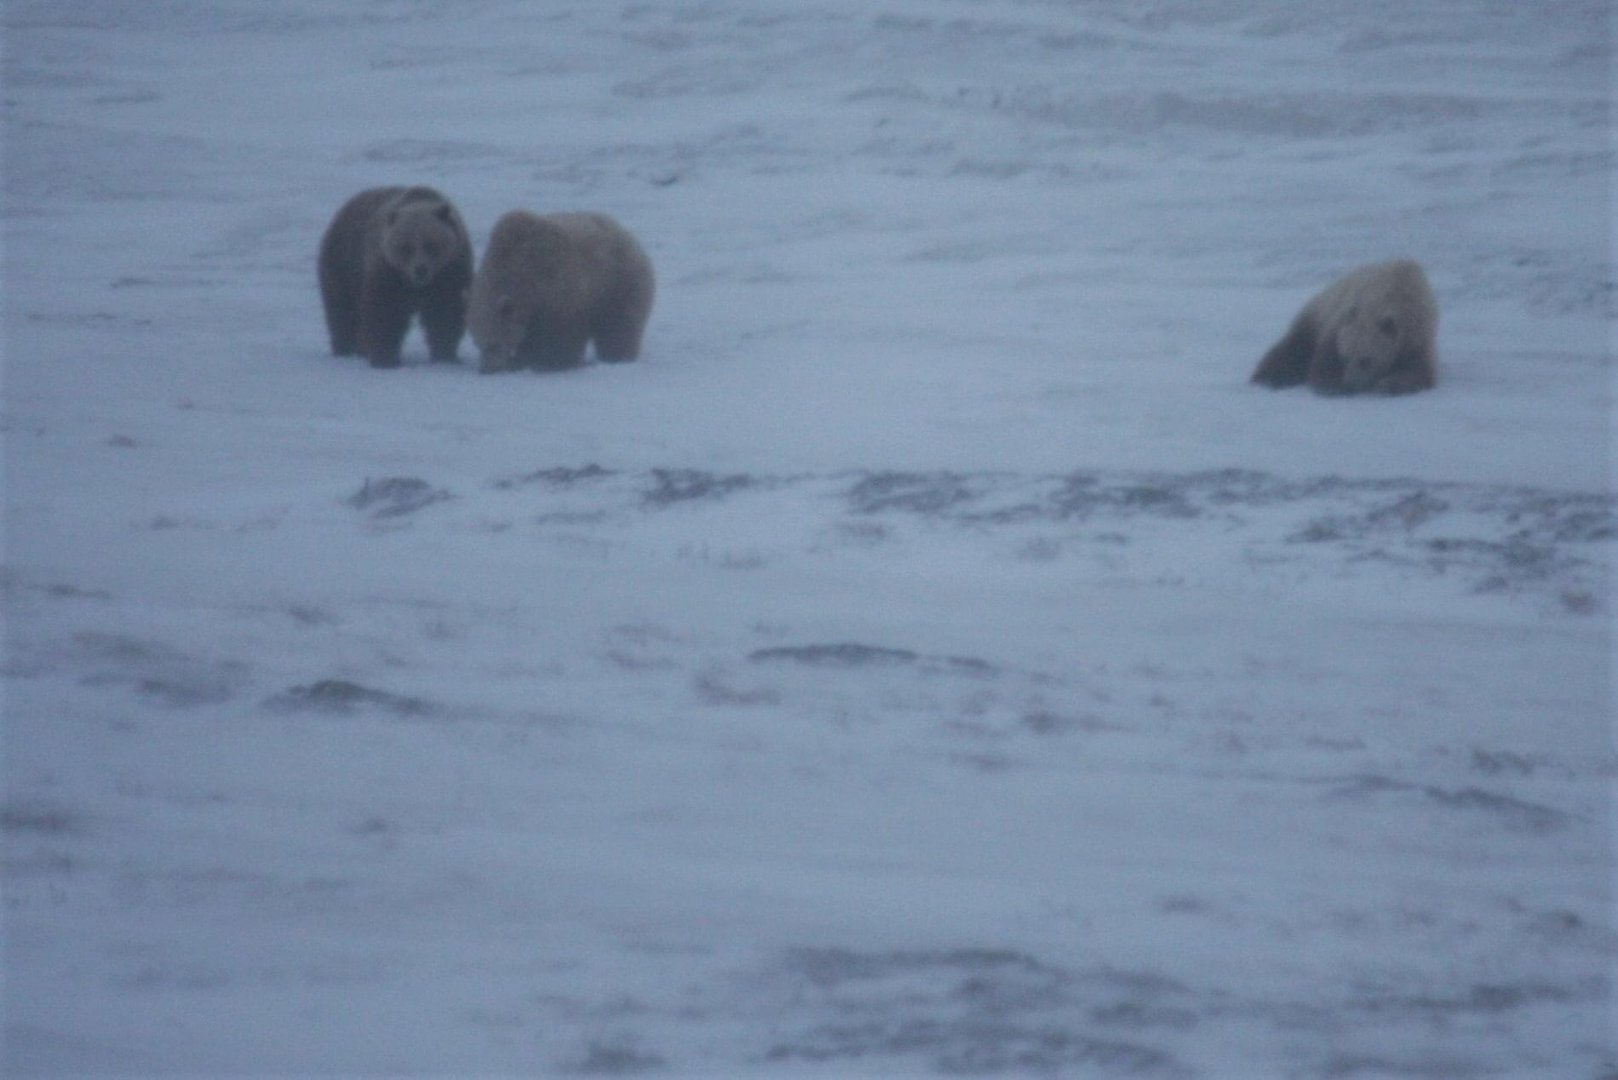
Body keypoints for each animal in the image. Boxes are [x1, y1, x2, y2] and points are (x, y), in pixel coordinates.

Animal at [318, 186, 473, 369]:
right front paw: (385, 358)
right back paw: (345, 348)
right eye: (406, 247)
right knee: (342, 311)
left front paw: (445, 354)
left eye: (431, 244)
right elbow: (385, 311)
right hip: (344, 264)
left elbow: (446, 311)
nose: (420, 269)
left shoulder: (449, 271)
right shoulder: (388, 270)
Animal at [466, 209, 654, 373]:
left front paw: (546, 361)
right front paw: (520, 359)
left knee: (619, 326)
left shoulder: (556, 292)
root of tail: (627, 235)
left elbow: (558, 336)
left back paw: (617, 356)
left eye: (493, 344)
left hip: (618, 285)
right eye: (477, 342)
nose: (486, 370)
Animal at [1250, 258, 1438, 396]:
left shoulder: (1417, 333)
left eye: (1365, 360)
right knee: (1294, 348)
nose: (1350, 384)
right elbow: (1325, 358)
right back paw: (1269, 377)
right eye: (1346, 357)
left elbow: (1419, 370)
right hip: (1316, 312)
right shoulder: (1340, 320)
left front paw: (1389, 383)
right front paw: (1331, 383)